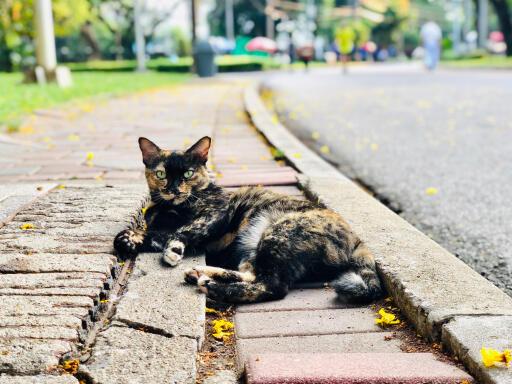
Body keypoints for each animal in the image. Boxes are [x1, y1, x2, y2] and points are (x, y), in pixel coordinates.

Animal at [114, 137, 382, 304]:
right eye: (161, 174)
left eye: (188, 173)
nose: (174, 189)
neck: (170, 208)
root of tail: (358, 241)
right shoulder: (162, 227)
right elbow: (151, 234)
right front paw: (128, 239)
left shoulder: (216, 213)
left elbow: (183, 230)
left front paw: (173, 250)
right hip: (255, 245)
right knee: (252, 275)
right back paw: (201, 274)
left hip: (279, 233)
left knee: (272, 286)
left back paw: (213, 287)